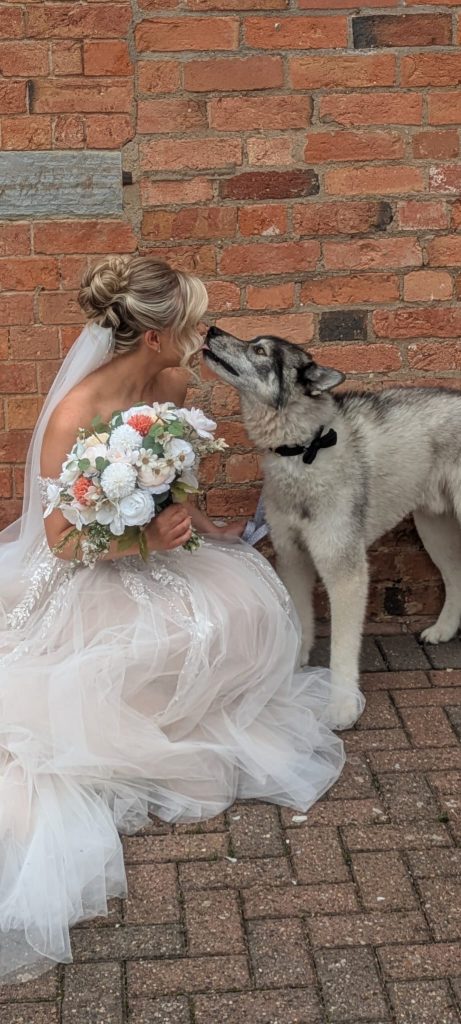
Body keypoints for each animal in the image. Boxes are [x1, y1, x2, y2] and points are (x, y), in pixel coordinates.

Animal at [204, 326, 461, 730]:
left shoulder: (346, 572)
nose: (212, 329)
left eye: (260, 351)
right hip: (434, 528)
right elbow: (301, 622)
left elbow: (342, 649)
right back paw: (443, 630)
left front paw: (341, 706)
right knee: (456, 577)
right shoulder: (293, 559)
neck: (304, 448)